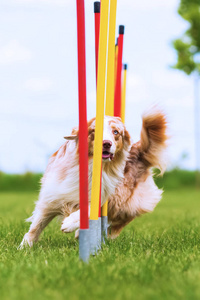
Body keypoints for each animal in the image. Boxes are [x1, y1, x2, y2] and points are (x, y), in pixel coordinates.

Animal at [19, 115, 130, 246]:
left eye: (116, 132)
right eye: (94, 131)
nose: (106, 143)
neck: (91, 169)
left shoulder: (101, 196)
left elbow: (88, 210)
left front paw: (69, 223)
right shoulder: (52, 195)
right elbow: (36, 226)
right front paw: (25, 246)